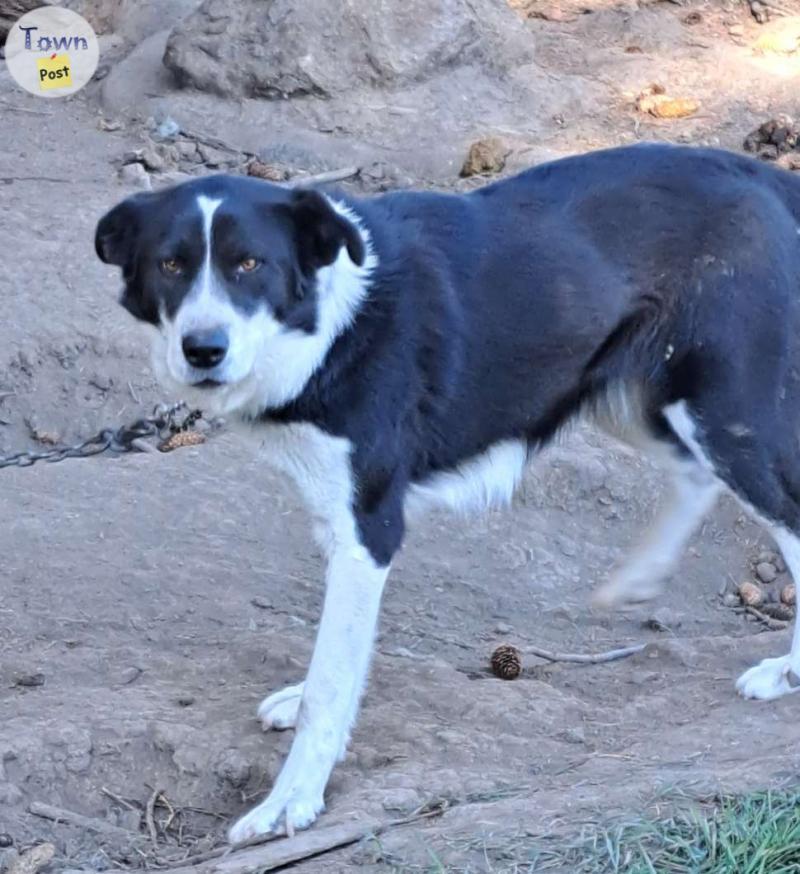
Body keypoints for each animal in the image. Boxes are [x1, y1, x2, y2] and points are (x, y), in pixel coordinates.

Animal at [97, 143, 800, 836]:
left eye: (250, 264)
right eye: (170, 264)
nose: (203, 349)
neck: (329, 324)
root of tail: (758, 174)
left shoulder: (369, 527)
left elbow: (332, 678)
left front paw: (291, 798)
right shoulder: (337, 516)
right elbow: (341, 656)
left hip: (723, 412)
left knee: (782, 517)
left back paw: (787, 669)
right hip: (631, 396)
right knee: (693, 472)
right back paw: (639, 578)